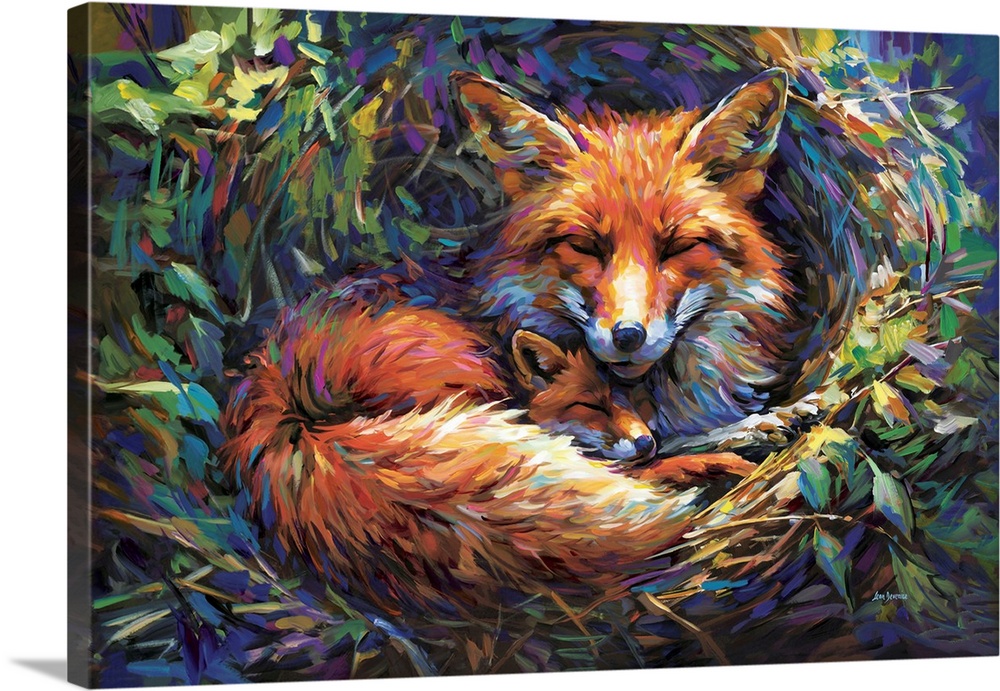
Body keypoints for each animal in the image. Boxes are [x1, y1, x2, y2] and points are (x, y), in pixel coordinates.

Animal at [219, 291, 754, 616]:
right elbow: (653, 467)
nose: (645, 441)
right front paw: (711, 457)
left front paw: (739, 432)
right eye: (592, 404)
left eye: (634, 400)